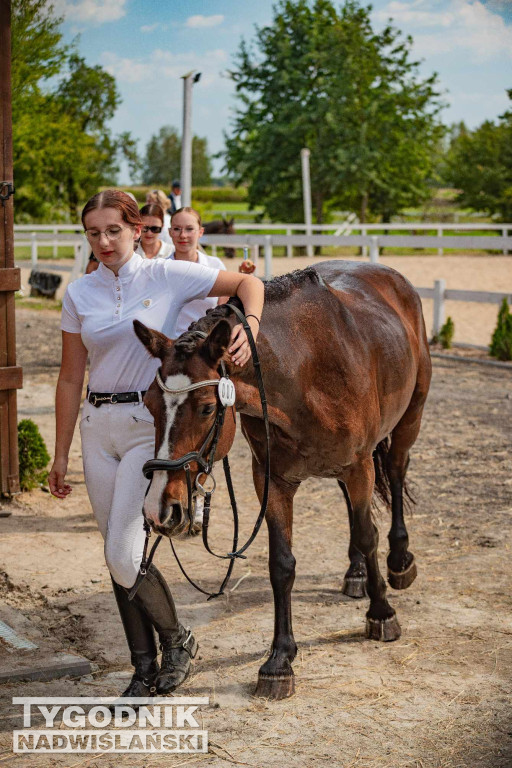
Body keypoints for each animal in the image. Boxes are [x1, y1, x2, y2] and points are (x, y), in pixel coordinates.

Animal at [134, 260, 430, 704]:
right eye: (150, 405)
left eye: (206, 408)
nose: (158, 509)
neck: (303, 370)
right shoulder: (271, 480)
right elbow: (282, 564)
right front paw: (279, 659)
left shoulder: (360, 465)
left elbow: (367, 533)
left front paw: (382, 614)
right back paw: (356, 573)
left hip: (409, 417)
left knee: (394, 474)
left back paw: (398, 560)